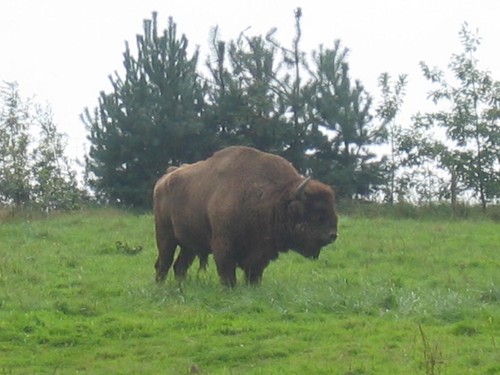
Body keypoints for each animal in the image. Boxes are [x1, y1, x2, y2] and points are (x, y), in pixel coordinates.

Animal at [154, 145, 338, 286]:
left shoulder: (260, 253)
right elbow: (228, 273)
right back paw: (161, 286)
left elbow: (254, 274)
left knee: (180, 266)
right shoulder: (223, 247)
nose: (332, 235)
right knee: (164, 263)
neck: (270, 197)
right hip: (166, 237)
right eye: (314, 212)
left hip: (190, 245)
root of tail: (165, 178)